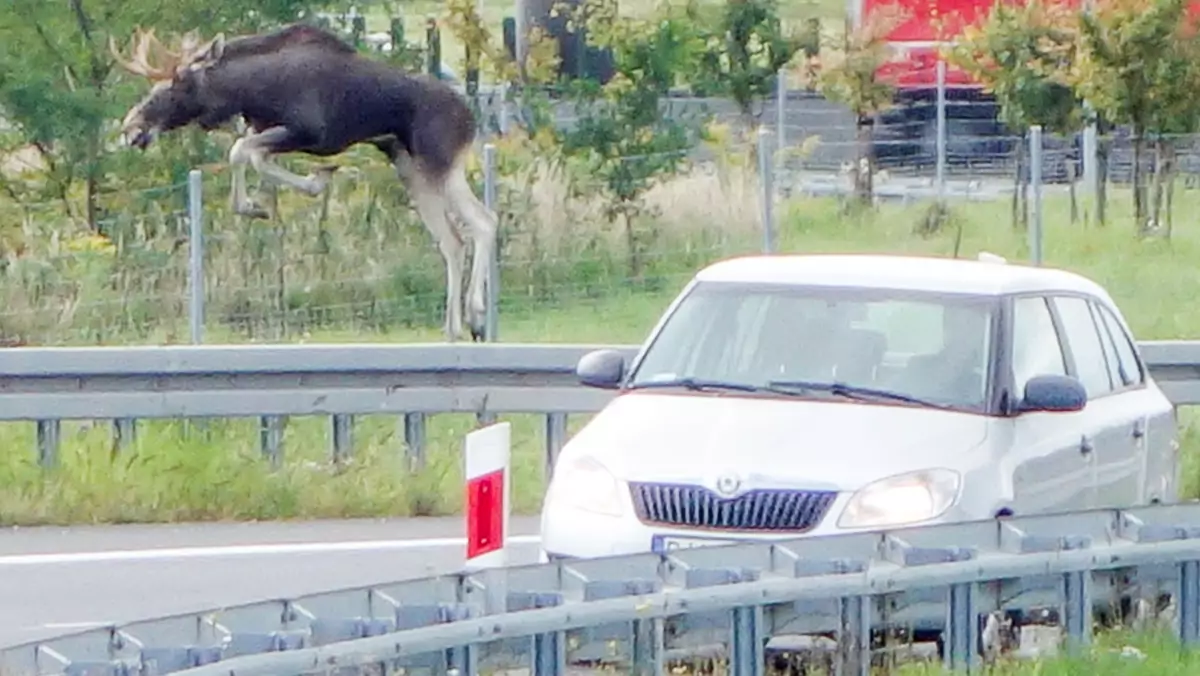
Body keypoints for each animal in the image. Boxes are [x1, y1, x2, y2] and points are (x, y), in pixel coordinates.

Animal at [113, 23, 501, 343]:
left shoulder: (309, 133)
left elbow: (240, 152)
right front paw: (288, 191)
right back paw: (455, 326)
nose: (131, 127)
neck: (250, 92)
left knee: (483, 221)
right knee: (453, 240)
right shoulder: (274, 133)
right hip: (411, 170)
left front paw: (262, 201)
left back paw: (476, 315)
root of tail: (471, 117)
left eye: (177, 83)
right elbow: (252, 156)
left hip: (439, 164)